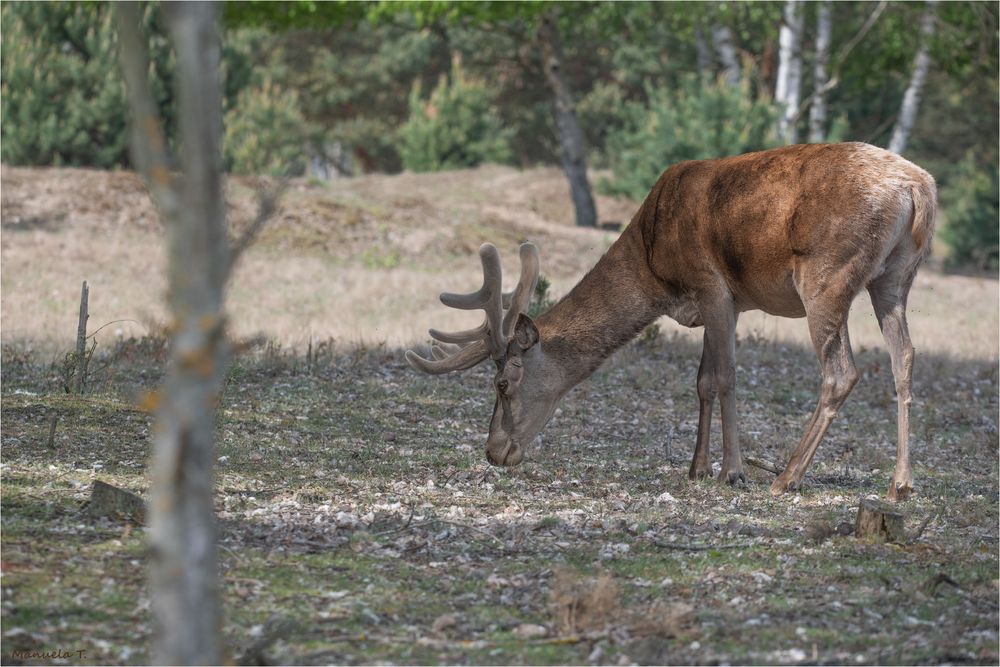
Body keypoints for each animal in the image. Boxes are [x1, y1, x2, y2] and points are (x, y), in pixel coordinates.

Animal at [406, 145, 936, 500]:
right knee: (905, 360)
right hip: (895, 278)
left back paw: (787, 477)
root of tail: (919, 190)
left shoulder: (712, 286)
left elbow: (725, 378)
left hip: (825, 277)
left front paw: (732, 472)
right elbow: (701, 381)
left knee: (841, 372)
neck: (653, 267)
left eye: (501, 383)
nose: (494, 451)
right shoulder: (721, 304)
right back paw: (900, 483)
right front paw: (696, 467)